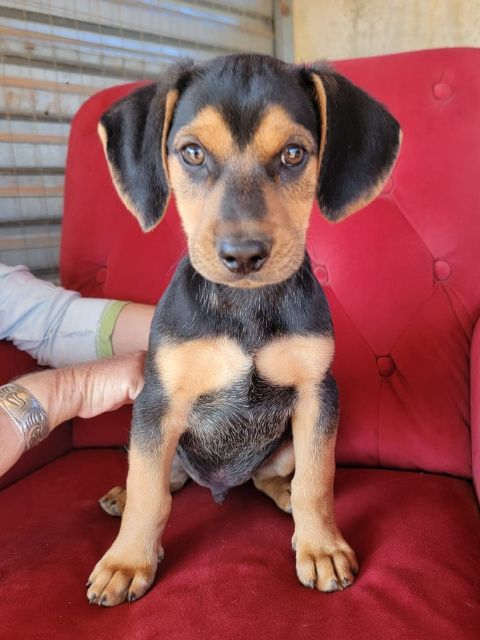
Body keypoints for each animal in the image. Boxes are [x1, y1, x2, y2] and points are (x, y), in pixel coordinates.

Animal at [87, 54, 401, 606]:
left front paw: (321, 548)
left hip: (285, 442)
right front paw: (127, 561)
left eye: (294, 154)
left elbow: (317, 481)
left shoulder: (318, 395)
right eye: (191, 153)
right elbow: (150, 493)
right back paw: (124, 497)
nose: (244, 255)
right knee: (167, 479)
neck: (246, 307)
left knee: (270, 481)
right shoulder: (157, 402)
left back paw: (285, 501)